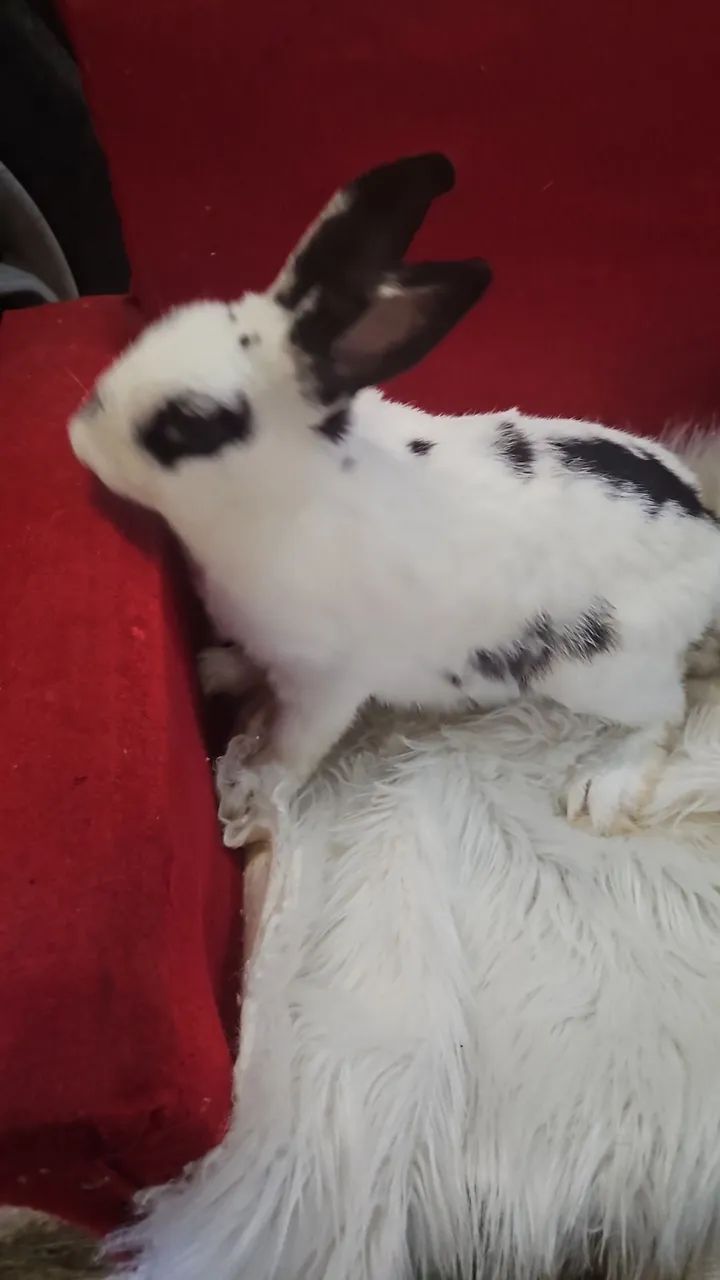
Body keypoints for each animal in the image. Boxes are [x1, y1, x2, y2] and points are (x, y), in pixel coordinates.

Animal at [68, 152, 720, 844]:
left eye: (192, 424)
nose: (78, 438)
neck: (287, 496)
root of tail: (707, 534)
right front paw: (215, 669)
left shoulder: (326, 682)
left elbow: (293, 744)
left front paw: (251, 790)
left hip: (598, 672)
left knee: (666, 711)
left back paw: (603, 784)